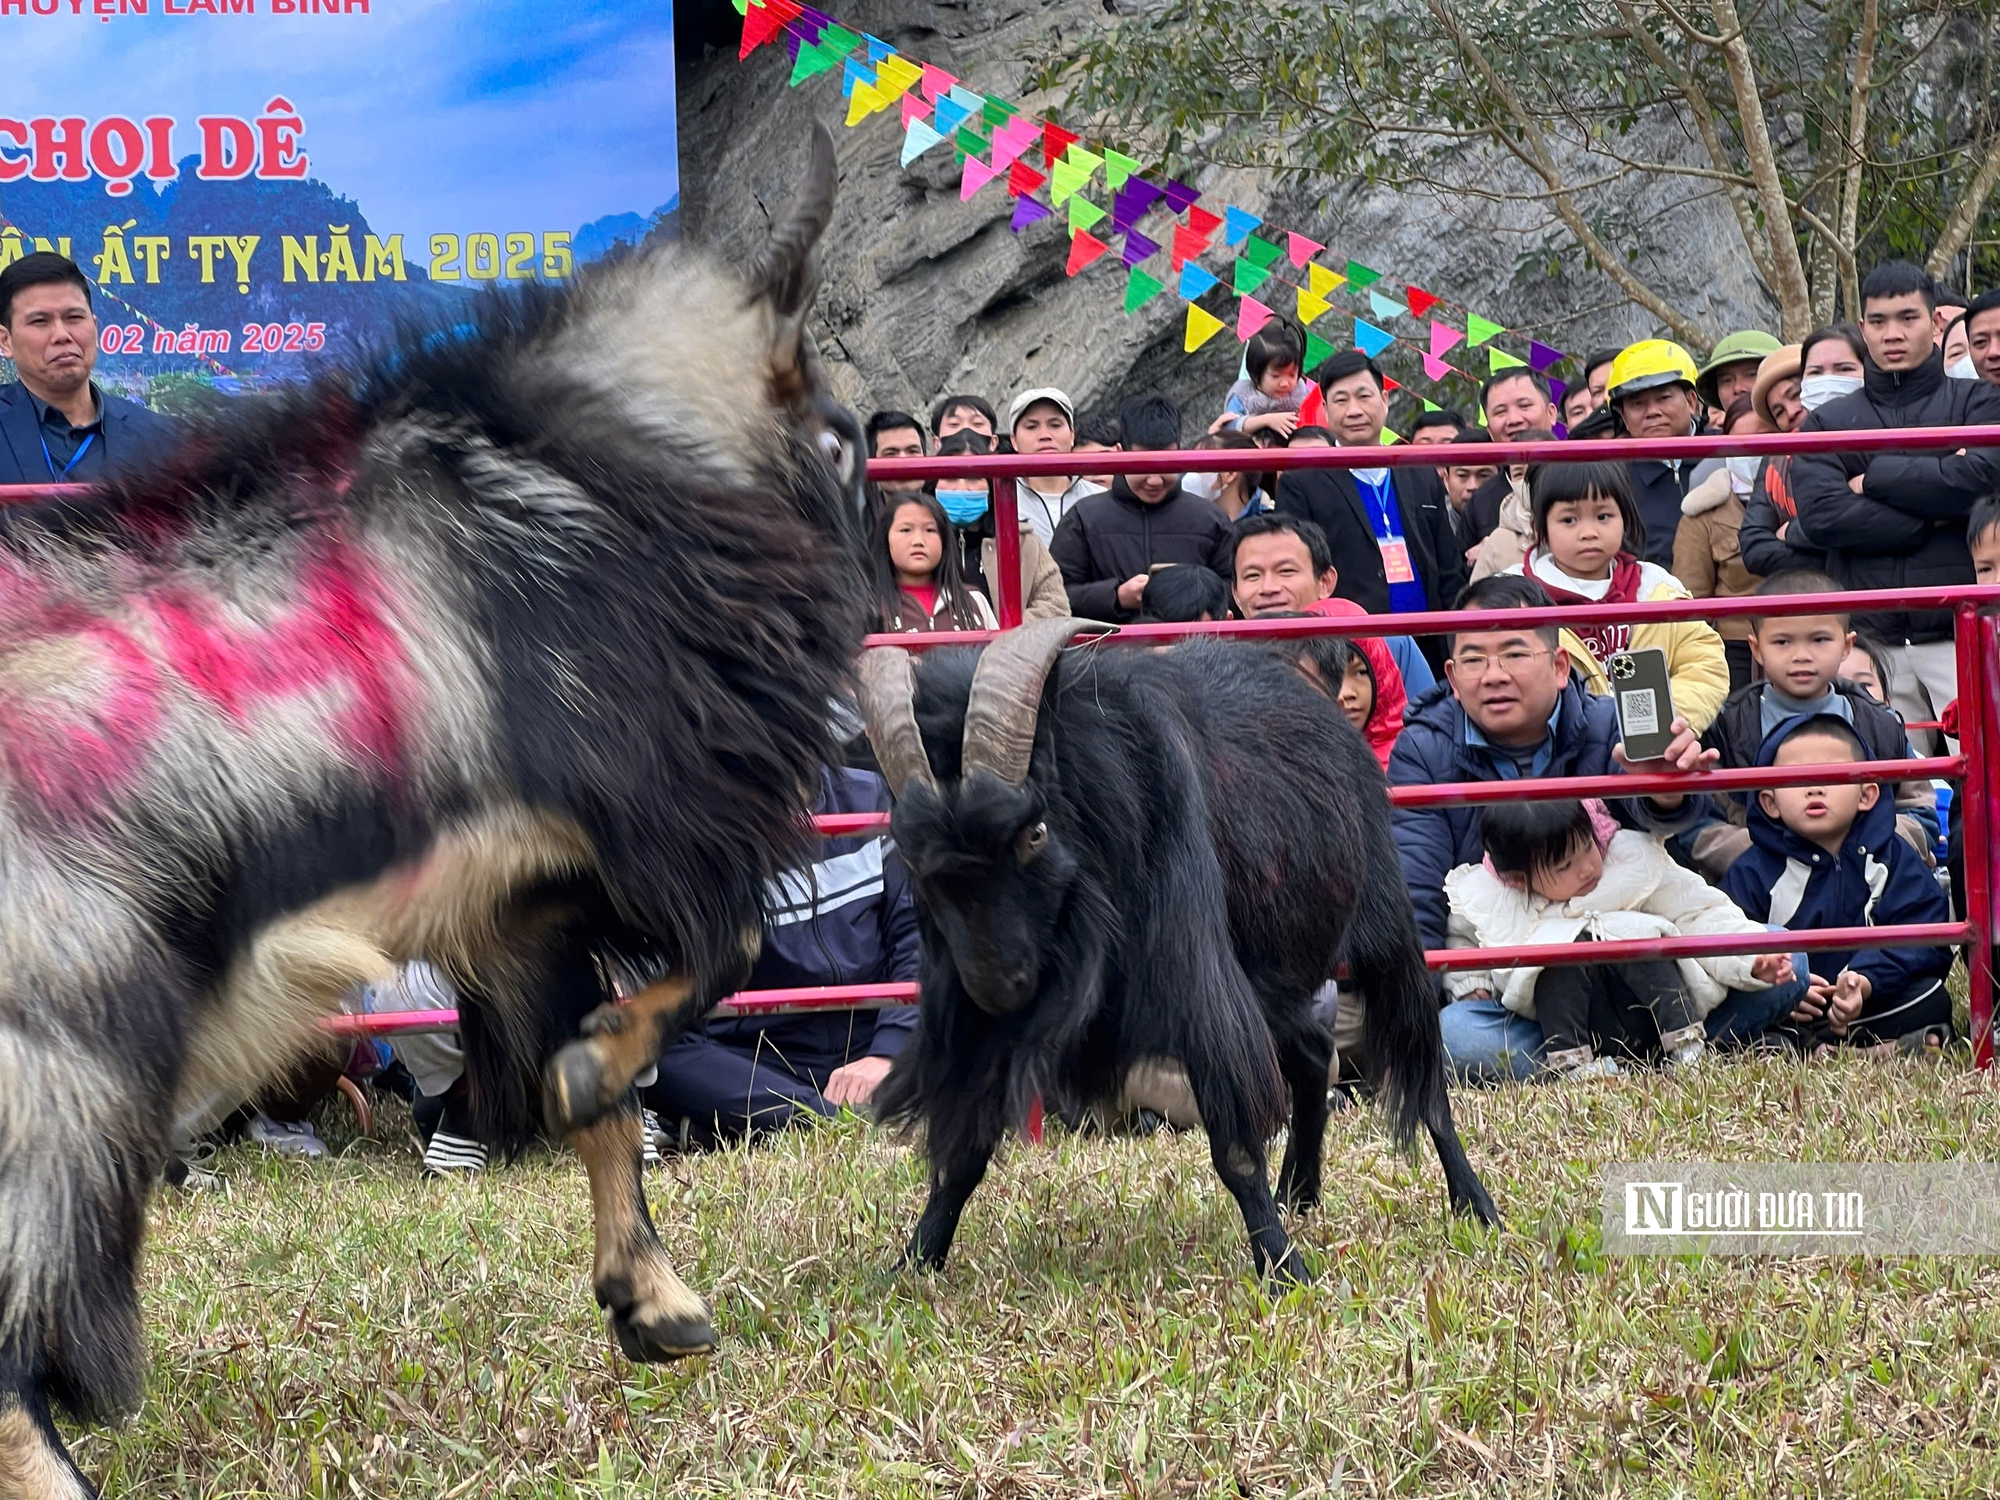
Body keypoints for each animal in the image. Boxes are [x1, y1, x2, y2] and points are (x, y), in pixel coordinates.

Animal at [3, 132, 872, 1500]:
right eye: (839, 438)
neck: (608, 459)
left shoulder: (520, 896)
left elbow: (603, 1085)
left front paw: (649, 1299)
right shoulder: (650, 823)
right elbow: (716, 960)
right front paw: (596, 1087)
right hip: (74, 1055)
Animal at [860, 616, 1504, 1288]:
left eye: (1033, 832)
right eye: (910, 853)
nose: (999, 985)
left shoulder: (1198, 982)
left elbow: (1236, 1149)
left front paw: (1285, 1271)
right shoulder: (973, 1021)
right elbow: (963, 1148)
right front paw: (914, 1261)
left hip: (1382, 927)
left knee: (1422, 1066)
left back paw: (1475, 1205)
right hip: (1268, 978)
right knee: (1312, 1050)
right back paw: (1299, 1193)